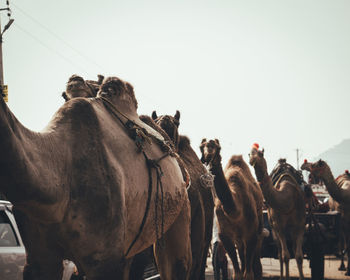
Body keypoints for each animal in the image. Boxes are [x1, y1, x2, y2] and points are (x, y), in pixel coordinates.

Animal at [200, 138, 262, 280]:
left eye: (218, 147)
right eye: (202, 146)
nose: (208, 153)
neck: (235, 211)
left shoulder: (251, 232)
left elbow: (248, 274)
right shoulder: (225, 235)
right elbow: (237, 274)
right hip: (238, 237)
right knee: (242, 252)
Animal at [247, 144, 304, 280]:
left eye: (260, 154)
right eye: (250, 153)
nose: (252, 159)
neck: (288, 199)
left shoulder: (300, 225)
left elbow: (299, 256)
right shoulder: (278, 227)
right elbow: (285, 256)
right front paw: (285, 277)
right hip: (274, 228)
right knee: (280, 254)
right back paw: (282, 276)